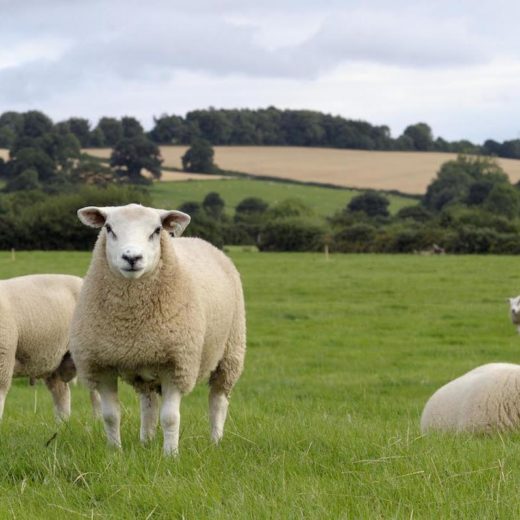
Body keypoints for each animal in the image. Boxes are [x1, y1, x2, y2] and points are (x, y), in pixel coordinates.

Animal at [0, 274, 100, 420]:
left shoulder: (3, 358)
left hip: (89, 349)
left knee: (96, 391)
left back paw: (98, 419)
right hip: (55, 359)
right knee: (61, 392)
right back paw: (62, 423)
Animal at [69, 203, 248, 456]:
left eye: (156, 231)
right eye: (109, 228)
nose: (132, 257)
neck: (130, 321)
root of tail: (199, 240)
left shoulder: (176, 364)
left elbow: (171, 417)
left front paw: (170, 455)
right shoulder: (101, 365)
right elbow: (111, 416)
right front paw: (115, 453)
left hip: (231, 350)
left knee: (218, 400)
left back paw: (215, 441)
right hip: (144, 363)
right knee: (148, 404)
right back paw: (146, 441)